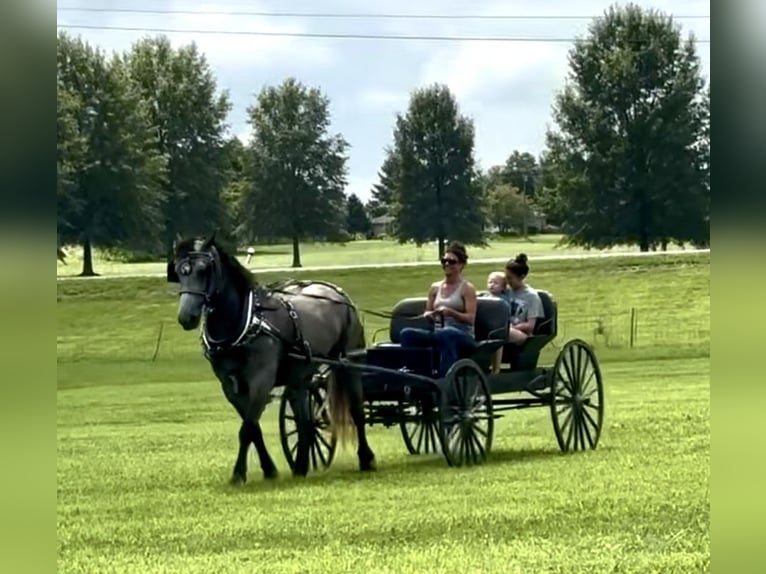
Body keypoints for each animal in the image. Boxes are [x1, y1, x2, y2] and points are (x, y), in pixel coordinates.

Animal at [166, 234, 376, 486]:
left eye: (204, 269)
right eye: (179, 271)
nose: (186, 317)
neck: (247, 321)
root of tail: (338, 293)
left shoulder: (261, 380)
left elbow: (247, 428)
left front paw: (238, 474)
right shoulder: (230, 386)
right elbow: (253, 428)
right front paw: (269, 469)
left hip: (348, 362)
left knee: (356, 411)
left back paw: (365, 458)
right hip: (300, 377)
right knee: (305, 423)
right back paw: (301, 467)